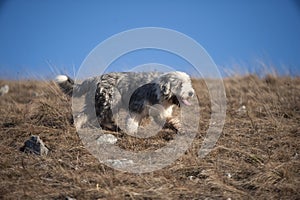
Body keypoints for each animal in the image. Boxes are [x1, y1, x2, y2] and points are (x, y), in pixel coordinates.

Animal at [55, 71, 195, 134]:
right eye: (180, 84)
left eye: (188, 82)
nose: (191, 93)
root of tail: (94, 79)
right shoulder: (136, 108)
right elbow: (132, 122)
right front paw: (132, 133)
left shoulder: (160, 112)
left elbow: (169, 120)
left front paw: (178, 128)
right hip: (110, 100)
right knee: (103, 117)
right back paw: (114, 127)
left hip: (94, 103)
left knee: (82, 115)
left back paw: (77, 126)